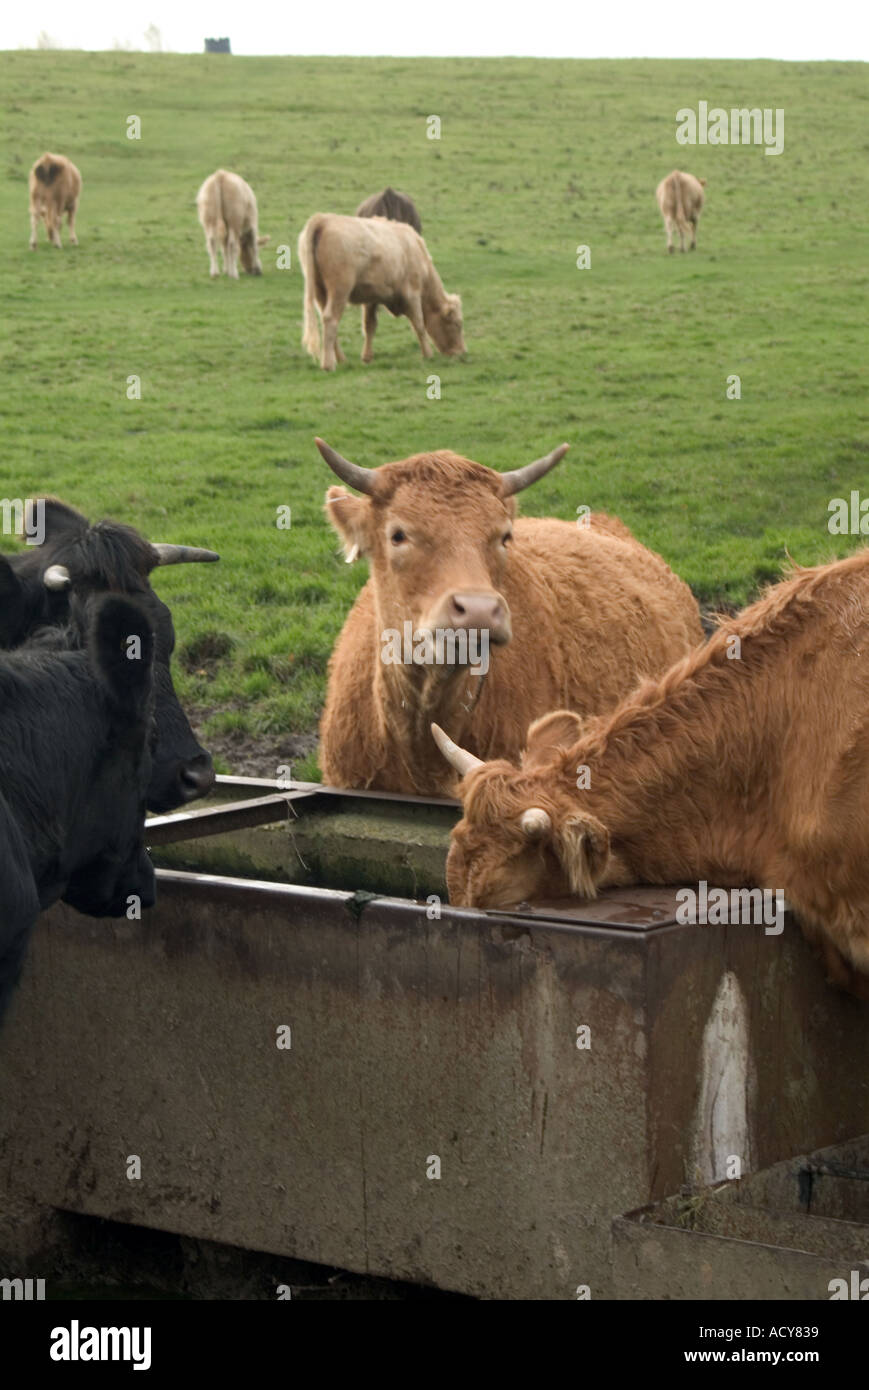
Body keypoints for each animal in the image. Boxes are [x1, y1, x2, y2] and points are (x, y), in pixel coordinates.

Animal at [297, 211, 464, 369]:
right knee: (330, 318)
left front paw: (367, 357)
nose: (462, 352)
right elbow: (419, 324)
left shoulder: (371, 299)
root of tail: (323, 219)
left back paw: (341, 359)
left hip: (320, 292)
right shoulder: (412, 294)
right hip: (339, 290)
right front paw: (428, 354)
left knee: (329, 323)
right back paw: (329, 364)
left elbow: (370, 326)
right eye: (456, 324)